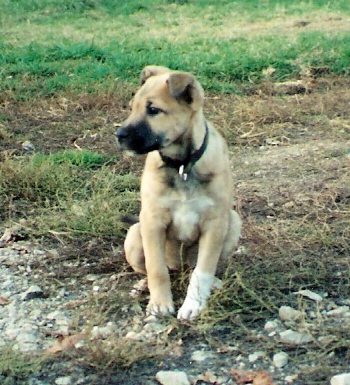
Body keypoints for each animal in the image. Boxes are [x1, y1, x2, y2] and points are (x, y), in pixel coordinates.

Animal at [116, 66, 242, 318]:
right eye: (132, 107)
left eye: (153, 110)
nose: (119, 136)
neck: (181, 165)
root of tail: (179, 267)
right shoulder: (152, 221)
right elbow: (156, 269)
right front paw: (160, 303)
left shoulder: (215, 223)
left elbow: (202, 271)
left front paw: (193, 305)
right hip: (135, 234)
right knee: (155, 269)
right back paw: (143, 285)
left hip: (233, 222)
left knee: (197, 268)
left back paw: (214, 283)